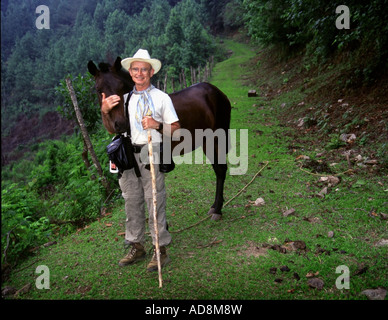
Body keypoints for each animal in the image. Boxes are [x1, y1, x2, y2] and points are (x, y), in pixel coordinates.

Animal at [88, 57, 230, 220]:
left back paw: (217, 209)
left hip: (215, 140)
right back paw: (215, 206)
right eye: (98, 89)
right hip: (206, 142)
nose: (120, 123)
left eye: (120, 86)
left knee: (220, 170)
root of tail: (216, 92)